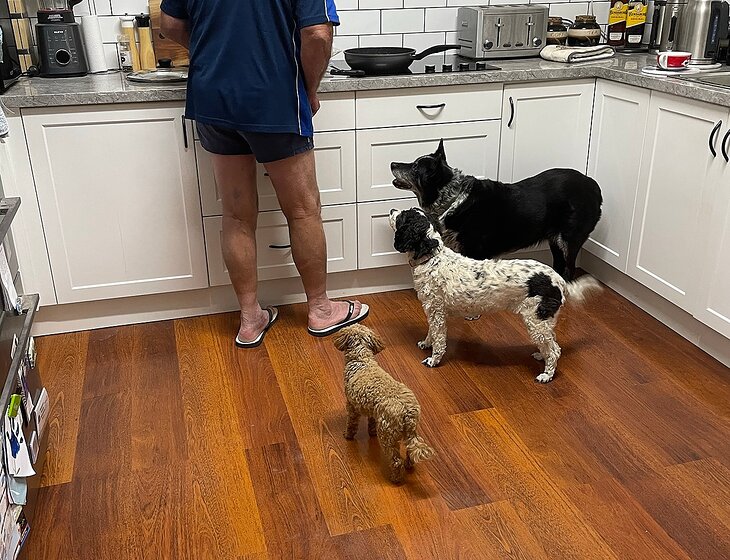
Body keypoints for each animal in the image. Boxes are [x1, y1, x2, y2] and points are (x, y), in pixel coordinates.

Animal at [333, 324, 435, 483]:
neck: (362, 360)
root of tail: (408, 412)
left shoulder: (352, 406)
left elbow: (351, 424)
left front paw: (347, 435)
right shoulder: (373, 412)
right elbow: (371, 423)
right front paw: (371, 433)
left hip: (387, 433)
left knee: (396, 460)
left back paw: (395, 478)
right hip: (409, 431)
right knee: (410, 450)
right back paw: (409, 465)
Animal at [389, 208, 601, 382]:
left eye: (401, 217)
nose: (391, 210)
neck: (432, 258)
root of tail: (558, 280)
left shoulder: (437, 312)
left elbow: (439, 340)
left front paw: (433, 360)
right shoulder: (432, 311)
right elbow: (431, 334)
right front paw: (426, 343)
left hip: (536, 320)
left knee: (555, 350)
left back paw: (546, 375)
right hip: (543, 320)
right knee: (551, 342)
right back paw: (541, 355)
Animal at [390, 140, 603, 281]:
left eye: (415, 168)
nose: (392, 163)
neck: (453, 199)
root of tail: (593, 185)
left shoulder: (474, 250)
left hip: (569, 240)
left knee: (569, 268)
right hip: (555, 240)